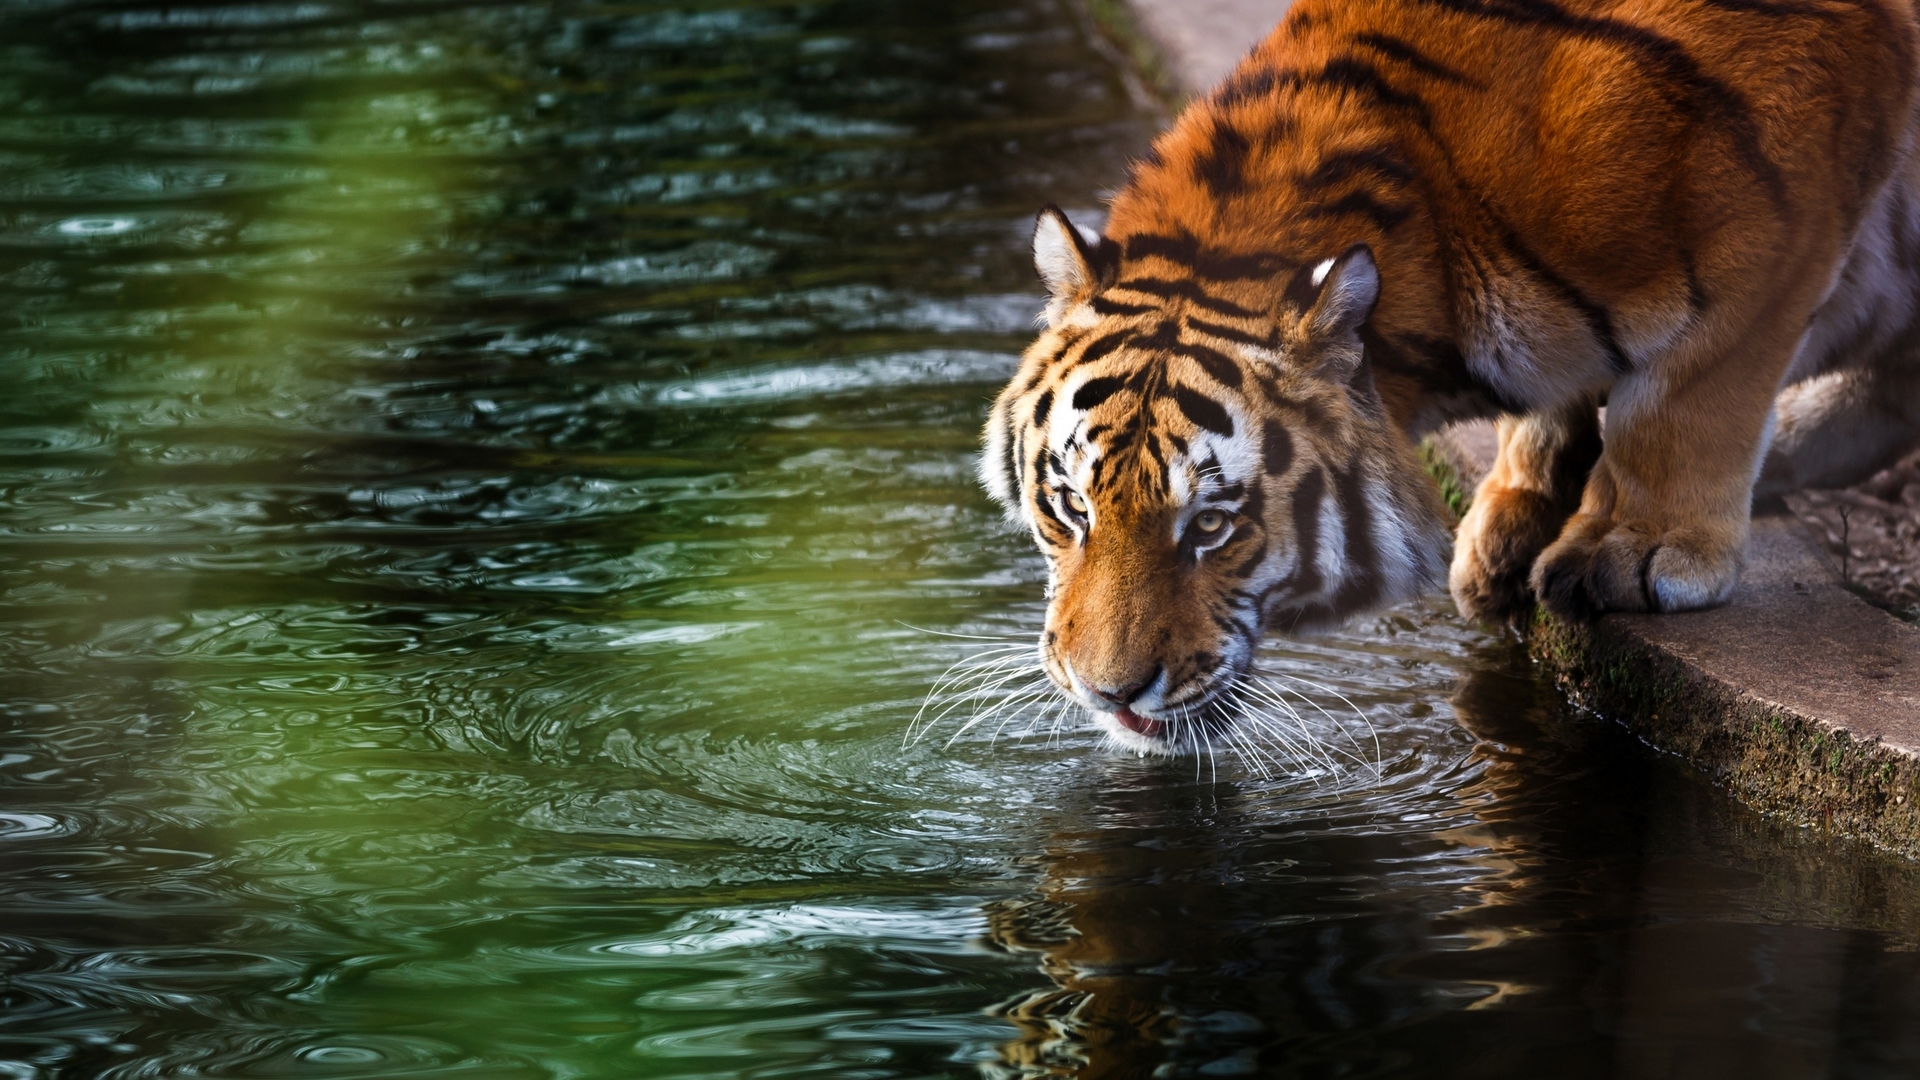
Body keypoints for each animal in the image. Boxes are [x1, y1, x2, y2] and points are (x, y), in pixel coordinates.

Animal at [981, 0, 1920, 754]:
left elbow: (1686, 397)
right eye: (1070, 507)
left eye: (1212, 526)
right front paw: (1513, 520)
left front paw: (1634, 545)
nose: (1107, 694)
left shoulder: (1779, 217)